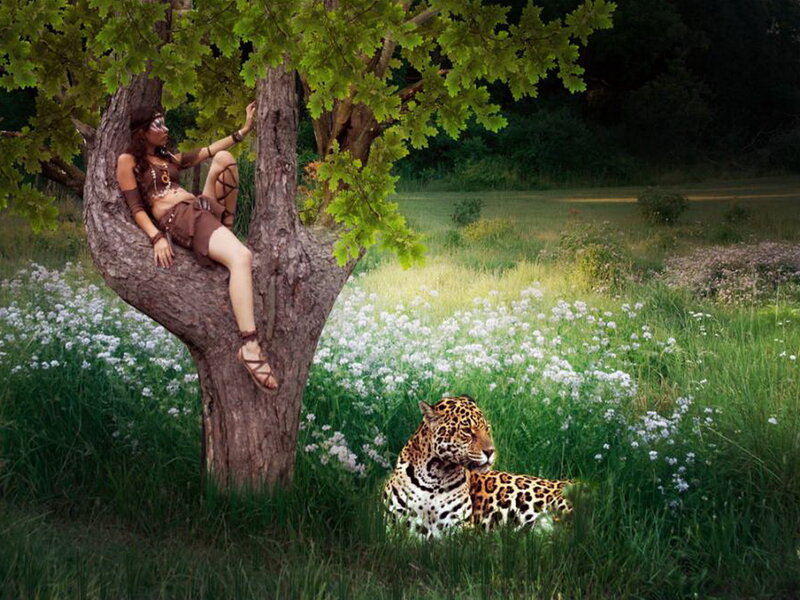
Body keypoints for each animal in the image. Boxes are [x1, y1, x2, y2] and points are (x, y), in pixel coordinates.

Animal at [382, 394, 575, 539]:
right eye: (467, 431)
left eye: (487, 429)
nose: (491, 451)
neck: (435, 474)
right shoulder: (395, 524)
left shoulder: (459, 526)